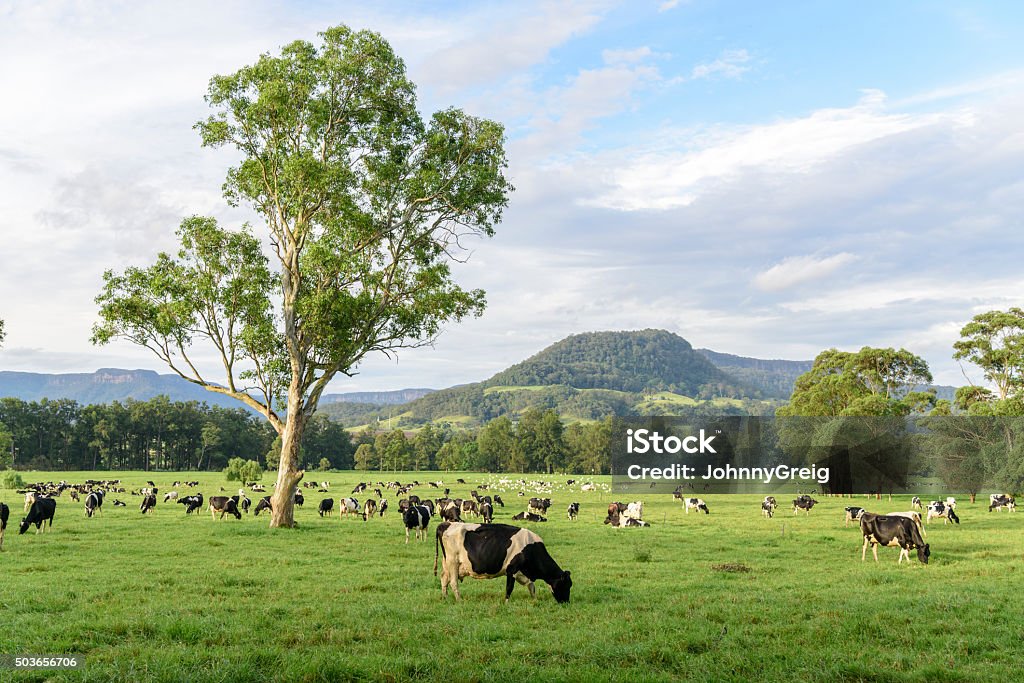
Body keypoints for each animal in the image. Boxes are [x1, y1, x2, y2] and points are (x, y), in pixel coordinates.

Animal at [432, 524, 573, 602]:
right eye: (566, 585)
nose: (566, 602)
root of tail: (446, 524)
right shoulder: (512, 569)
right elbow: (509, 588)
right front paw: (506, 603)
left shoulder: (523, 572)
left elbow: (531, 586)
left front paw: (535, 600)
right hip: (453, 562)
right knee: (453, 582)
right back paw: (459, 600)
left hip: (447, 563)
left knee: (444, 578)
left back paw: (445, 597)